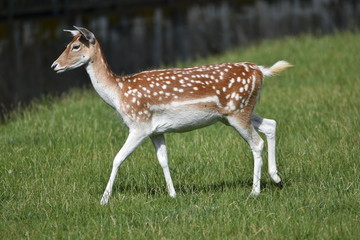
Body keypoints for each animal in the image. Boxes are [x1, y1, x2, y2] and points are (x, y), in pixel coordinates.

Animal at [51, 25, 292, 204]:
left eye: (75, 46)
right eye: (67, 45)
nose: (54, 65)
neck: (118, 93)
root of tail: (260, 71)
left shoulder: (139, 124)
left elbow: (117, 158)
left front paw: (104, 199)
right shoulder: (156, 130)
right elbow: (163, 160)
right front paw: (173, 194)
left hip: (238, 111)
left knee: (257, 143)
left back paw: (254, 191)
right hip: (236, 112)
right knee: (271, 124)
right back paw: (277, 179)